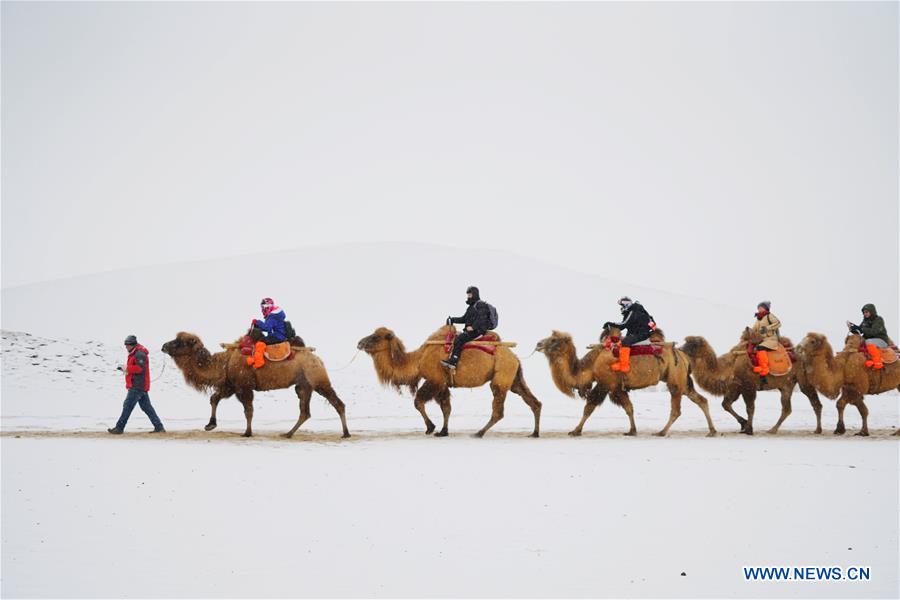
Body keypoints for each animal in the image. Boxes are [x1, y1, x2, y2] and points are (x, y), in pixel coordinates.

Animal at [162, 332, 348, 436]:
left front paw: (247, 433)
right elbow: (214, 399)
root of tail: (318, 360)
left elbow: (248, 411)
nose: (164, 345)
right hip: (303, 385)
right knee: (305, 412)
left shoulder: (243, 387)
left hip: (317, 379)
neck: (224, 363)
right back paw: (288, 434)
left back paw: (345, 434)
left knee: (337, 403)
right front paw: (210, 425)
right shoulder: (230, 385)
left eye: (178, 342)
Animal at [356, 328, 540, 436]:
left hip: (501, 377)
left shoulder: (434, 380)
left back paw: (479, 433)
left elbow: (418, 402)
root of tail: (515, 357)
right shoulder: (442, 384)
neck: (418, 360)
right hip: (514, 379)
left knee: (498, 409)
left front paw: (430, 427)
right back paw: (534, 433)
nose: (359, 343)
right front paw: (443, 431)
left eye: (376, 337)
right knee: (533, 402)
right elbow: (446, 408)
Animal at [536, 328, 716, 436]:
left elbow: (588, 408)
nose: (538, 344)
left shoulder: (605, 385)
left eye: (554, 340)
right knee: (701, 400)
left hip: (675, 379)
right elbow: (629, 408)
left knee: (676, 409)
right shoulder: (617, 388)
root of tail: (683, 355)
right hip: (683, 381)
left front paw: (575, 430)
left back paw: (661, 432)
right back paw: (712, 431)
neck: (591, 364)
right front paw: (632, 430)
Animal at [684, 328, 824, 436]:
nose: (680, 349)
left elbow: (750, 408)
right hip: (786, 385)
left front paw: (748, 429)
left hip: (804, 381)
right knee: (787, 408)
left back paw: (817, 430)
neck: (730, 365)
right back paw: (773, 429)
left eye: (692, 344)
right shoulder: (735, 387)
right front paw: (743, 424)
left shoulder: (748, 386)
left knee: (814, 402)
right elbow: (726, 404)